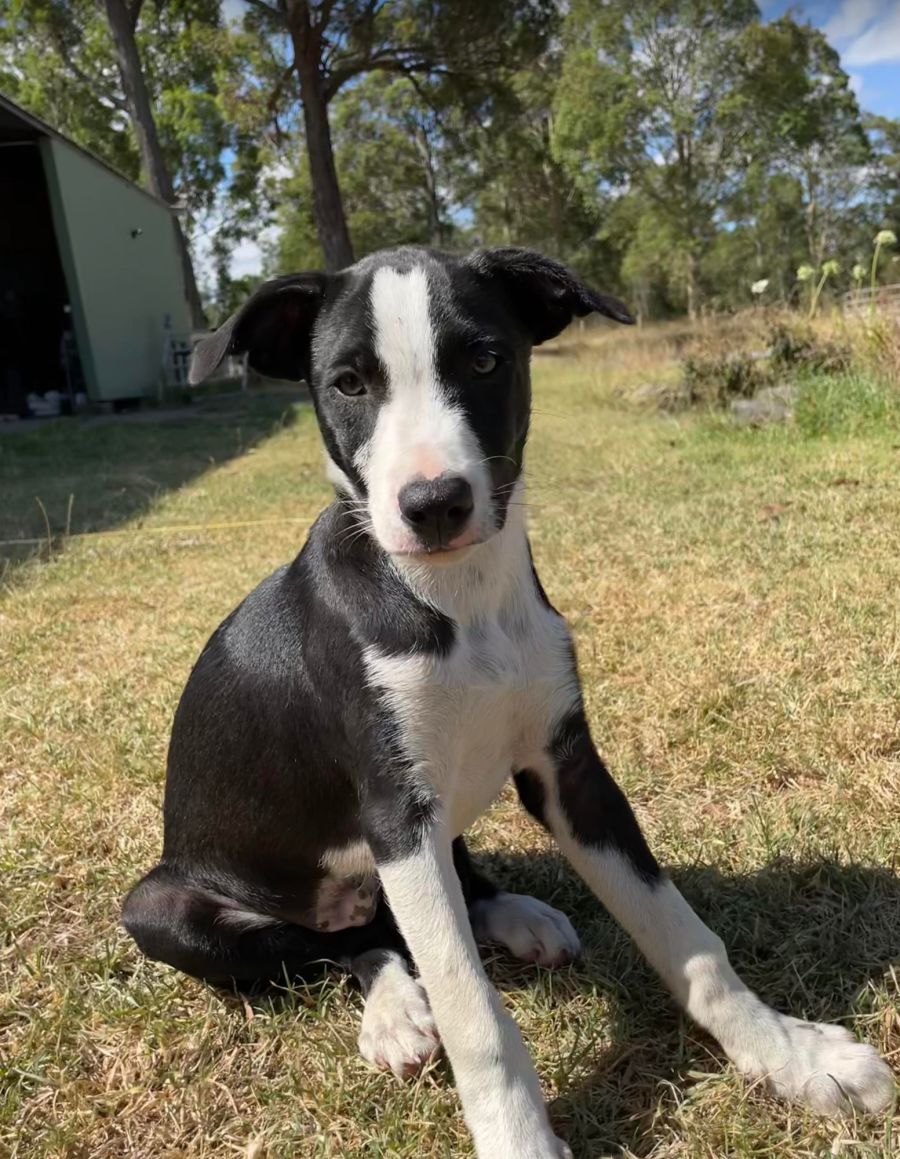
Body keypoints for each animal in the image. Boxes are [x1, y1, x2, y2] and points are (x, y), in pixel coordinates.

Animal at [122, 247, 893, 1157]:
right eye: (348, 383)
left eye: (486, 361)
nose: (434, 504)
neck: (461, 597)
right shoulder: (396, 812)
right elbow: (473, 1011)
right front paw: (518, 1134)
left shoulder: (569, 770)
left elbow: (686, 935)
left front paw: (790, 1056)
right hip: (164, 907)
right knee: (339, 942)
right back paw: (394, 1009)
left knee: (409, 908)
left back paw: (513, 916)